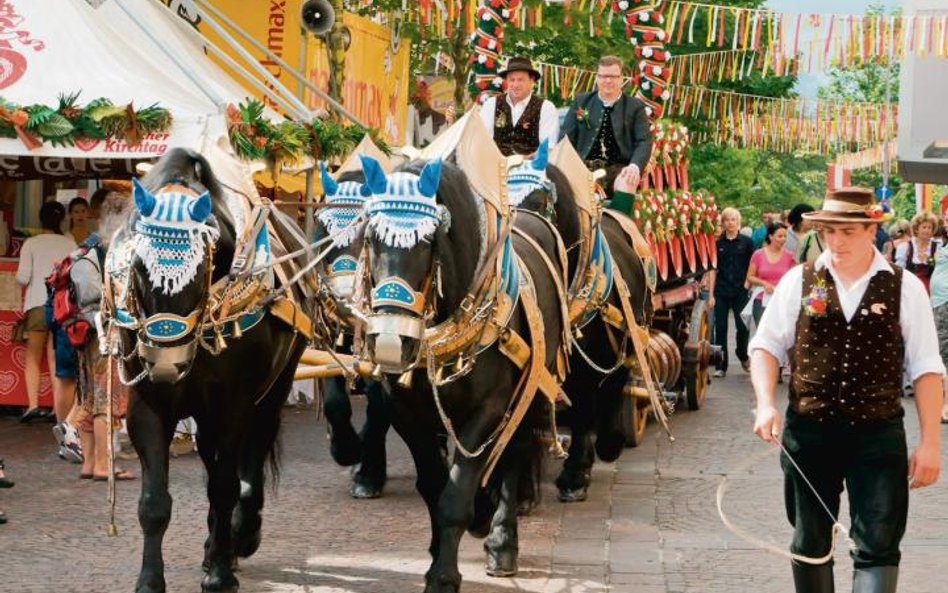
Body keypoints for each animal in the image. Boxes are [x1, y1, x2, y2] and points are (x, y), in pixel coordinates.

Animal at [109, 148, 308, 592]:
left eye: (203, 268)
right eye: (138, 267)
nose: (166, 364)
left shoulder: (234, 404)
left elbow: (224, 486)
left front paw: (219, 573)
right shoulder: (148, 405)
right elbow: (154, 503)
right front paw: (151, 579)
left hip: (273, 391)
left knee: (249, 462)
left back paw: (240, 536)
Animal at [356, 155, 564, 588]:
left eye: (428, 242)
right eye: (371, 237)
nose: (389, 342)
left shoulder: (489, 409)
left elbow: (456, 491)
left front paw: (444, 575)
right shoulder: (407, 414)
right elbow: (434, 487)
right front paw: (437, 552)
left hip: (531, 391)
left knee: (515, 454)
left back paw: (502, 541)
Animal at [512, 147, 652, 500]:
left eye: (540, 202)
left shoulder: (593, 360)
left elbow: (586, 405)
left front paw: (576, 473)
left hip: (630, 337)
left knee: (615, 385)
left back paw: (609, 443)